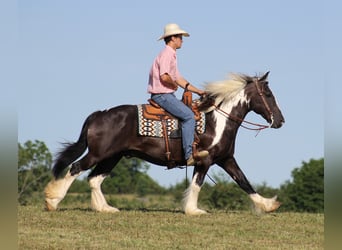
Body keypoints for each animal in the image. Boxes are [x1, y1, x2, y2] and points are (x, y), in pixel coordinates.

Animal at [46, 71, 286, 214]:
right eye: (268, 94)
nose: (280, 121)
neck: (218, 120)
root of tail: (99, 114)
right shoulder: (205, 161)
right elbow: (197, 184)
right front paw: (193, 210)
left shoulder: (226, 159)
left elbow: (244, 182)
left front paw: (268, 204)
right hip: (99, 154)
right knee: (76, 168)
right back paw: (53, 201)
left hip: (113, 156)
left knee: (94, 179)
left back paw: (105, 208)